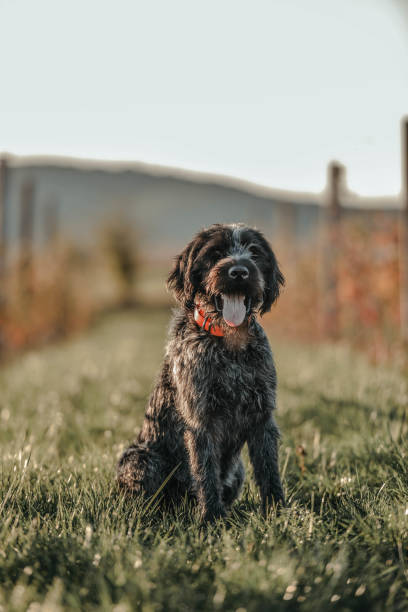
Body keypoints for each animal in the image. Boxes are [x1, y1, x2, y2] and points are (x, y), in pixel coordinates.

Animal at [116, 224, 286, 520]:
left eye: (254, 252)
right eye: (215, 253)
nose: (239, 272)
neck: (230, 343)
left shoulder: (262, 416)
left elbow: (269, 470)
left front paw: (277, 510)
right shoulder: (201, 419)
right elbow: (206, 472)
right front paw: (211, 518)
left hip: (237, 470)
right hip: (139, 459)